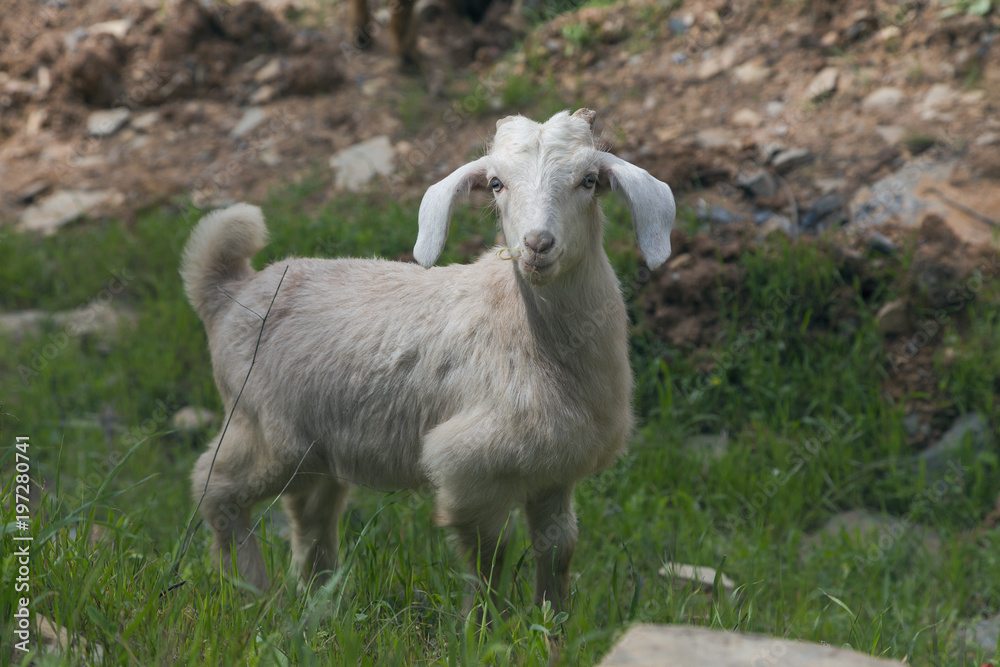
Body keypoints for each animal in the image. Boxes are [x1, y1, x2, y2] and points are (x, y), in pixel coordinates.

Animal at [182, 108, 675, 613]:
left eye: (589, 180)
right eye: (495, 183)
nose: (538, 244)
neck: (529, 332)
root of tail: (228, 290)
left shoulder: (554, 471)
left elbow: (559, 549)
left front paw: (552, 622)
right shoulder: (469, 467)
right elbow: (489, 555)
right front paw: (484, 623)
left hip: (317, 447)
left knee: (310, 513)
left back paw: (317, 600)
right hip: (264, 428)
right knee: (214, 487)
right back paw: (250, 592)